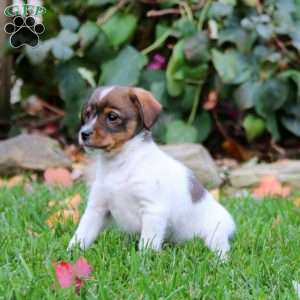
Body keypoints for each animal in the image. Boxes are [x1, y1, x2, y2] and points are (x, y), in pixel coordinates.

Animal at [69, 85, 236, 258]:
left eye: (112, 116)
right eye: (87, 114)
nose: (83, 133)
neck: (121, 164)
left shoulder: (153, 210)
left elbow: (147, 243)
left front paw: (144, 260)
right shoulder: (97, 207)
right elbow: (82, 233)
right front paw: (72, 252)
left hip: (215, 234)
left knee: (221, 248)